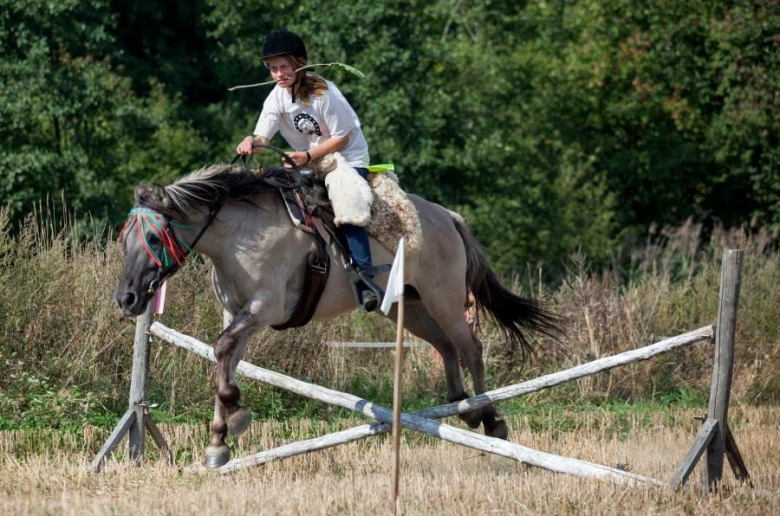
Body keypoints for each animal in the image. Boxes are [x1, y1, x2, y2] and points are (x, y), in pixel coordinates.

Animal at [114, 162, 560, 468]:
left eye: (154, 237)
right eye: (124, 239)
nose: (127, 299)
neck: (240, 235)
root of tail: (446, 216)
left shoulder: (263, 306)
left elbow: (223, 351)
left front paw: (233, 420)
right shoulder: (234, 312)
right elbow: (224, 358)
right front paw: (218, 441)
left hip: (444, 299)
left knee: (471, 347)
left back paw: (489, 419)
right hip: (408, 306)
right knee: (447, 346)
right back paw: (460, 405)